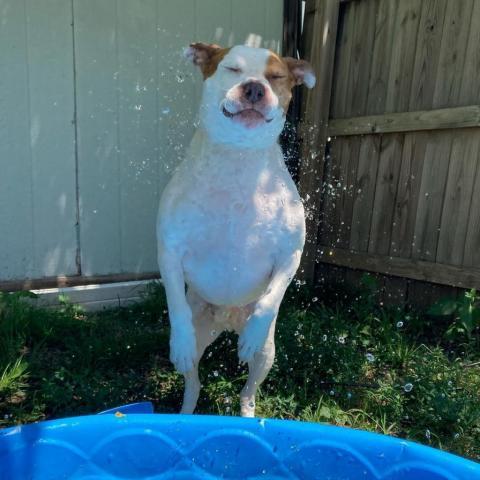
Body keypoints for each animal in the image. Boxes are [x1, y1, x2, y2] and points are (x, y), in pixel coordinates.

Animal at [157, 43, 316, 418]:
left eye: (276, 76)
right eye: (232, 68)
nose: (255, 88)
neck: (238, 158)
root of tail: (227, 318)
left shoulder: (290, 254)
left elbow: (272, 296)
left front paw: (254, 331)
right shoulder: (169, 248)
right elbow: (175, 301)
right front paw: (179, 340)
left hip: (267, 356)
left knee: (249, 390)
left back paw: (248, 414)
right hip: (202, 334)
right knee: (194, 382)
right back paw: (184, 414)